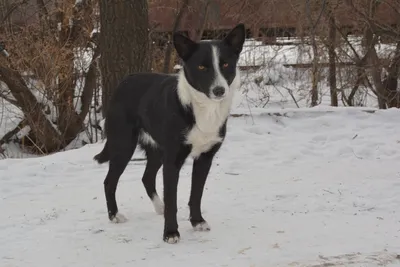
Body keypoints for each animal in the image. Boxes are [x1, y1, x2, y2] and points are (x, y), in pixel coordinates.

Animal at [94, 23, 245, 245]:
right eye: (201, 67)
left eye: (225, 64)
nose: (219, 90)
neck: (201, 109)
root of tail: (125, 80)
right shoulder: (173, 160)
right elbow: (173, 200)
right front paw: (171, 233)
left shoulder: (204, 158)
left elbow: (196, 194)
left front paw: (197, 221)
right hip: (124, 145)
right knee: (109, 181)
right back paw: (114, 215)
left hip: (157, 150)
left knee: (147, 178)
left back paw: (159, 207)